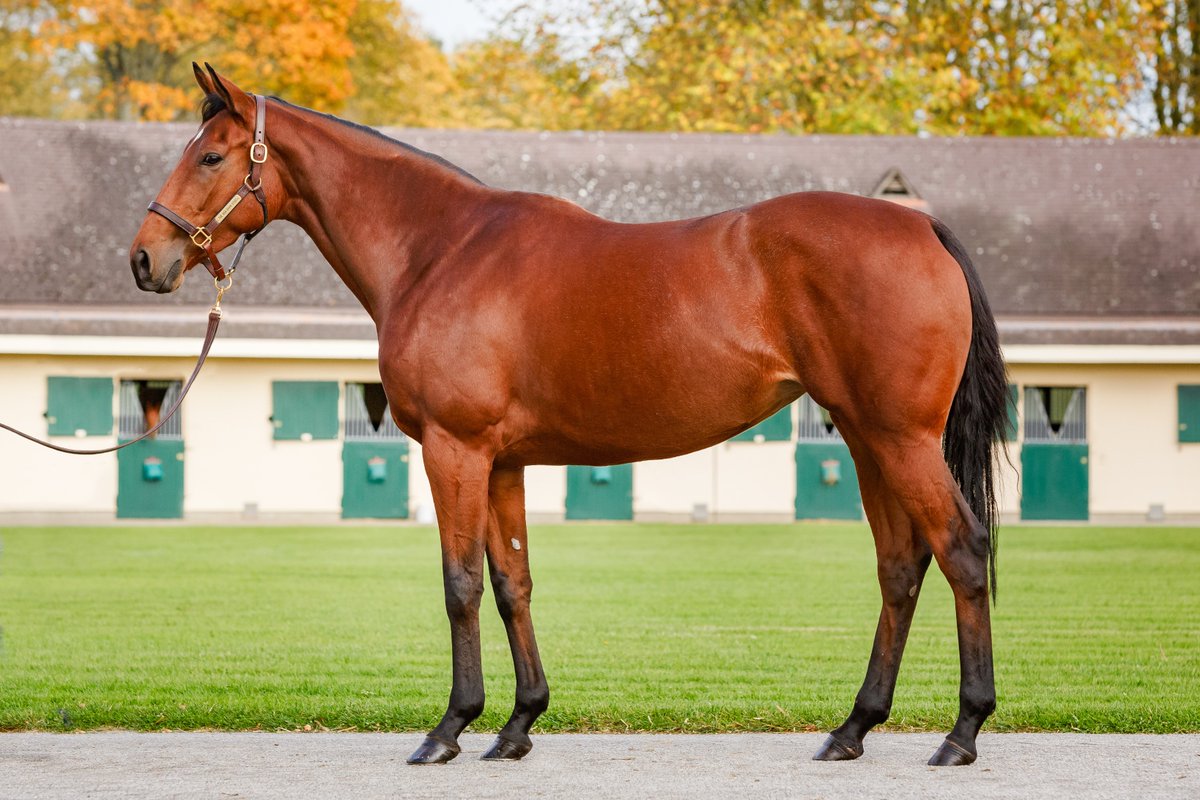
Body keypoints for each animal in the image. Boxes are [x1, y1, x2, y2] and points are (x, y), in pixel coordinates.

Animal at [131, 64, 1008, 767]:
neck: (441, 249)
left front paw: (448, 729)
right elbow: (512, 583)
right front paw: (518, 725)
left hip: (900, 440)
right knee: (899, 567)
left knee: (962, 552)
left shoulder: (454, 450)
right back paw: (853, 729)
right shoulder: (502, 462)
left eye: (210, 155)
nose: (145, 259)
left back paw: (961, 733)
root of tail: (919, 223)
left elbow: (459, 584)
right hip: (866, 439)